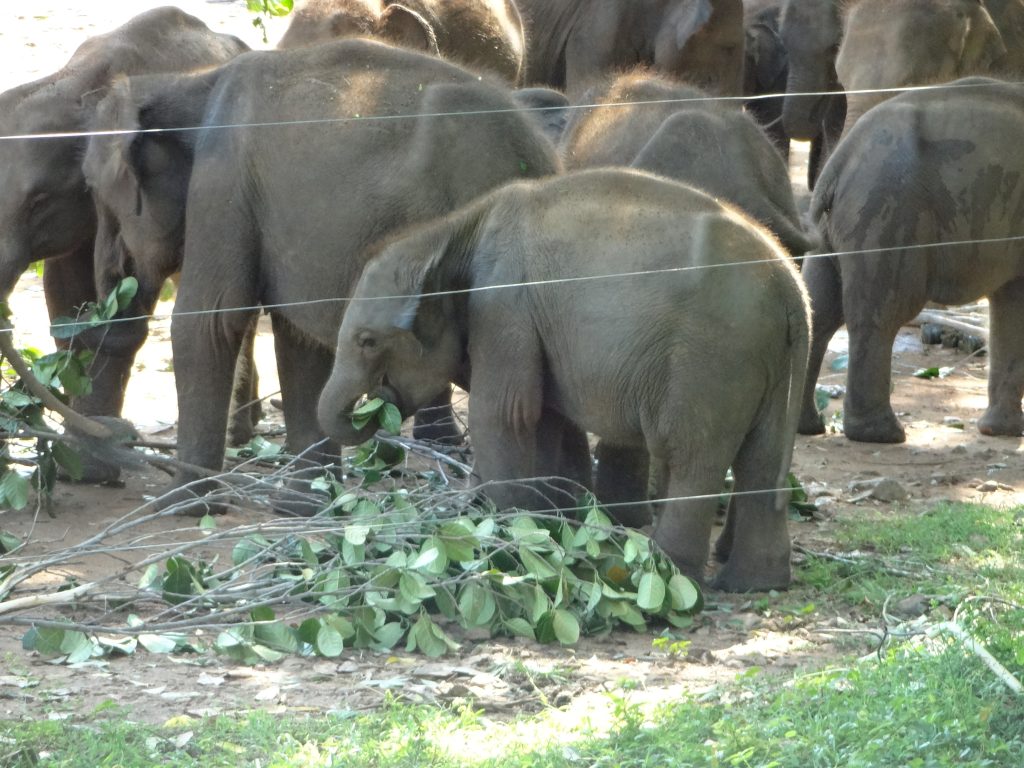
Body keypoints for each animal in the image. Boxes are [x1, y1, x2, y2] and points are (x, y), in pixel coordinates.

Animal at [0, 8, 248, 477]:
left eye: (39, 201)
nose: (122, 433)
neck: (74, 84)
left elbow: (125, 295)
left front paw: (94, 463)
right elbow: (66, 307)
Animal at [90, 39, 559, 511]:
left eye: (94, 192)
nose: (115, 281)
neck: (191, 79)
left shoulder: (222, 179)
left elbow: (210, 322)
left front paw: (179, 506)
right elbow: (300, 339)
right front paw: (303, 505)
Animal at [316, 169, 810, 591]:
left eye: (367, 341)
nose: (373, 405)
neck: (451, 230)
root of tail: (790, 287)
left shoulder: (503, 307)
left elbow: (503, 413)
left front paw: (501, 533)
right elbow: (550, 419)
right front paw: (553, 522)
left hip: (710, 358)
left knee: (691, 454)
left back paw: (669, 574)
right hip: (767, 362)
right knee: (761, 458)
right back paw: (754, 583)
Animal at [798, 77, 1024, 443]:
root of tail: (839, 161)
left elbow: (1012, 302)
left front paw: (998, 431)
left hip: (832, 230)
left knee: (820, 309)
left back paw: (809, 427)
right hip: (888, 211)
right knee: (883, 312)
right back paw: (882, 434)